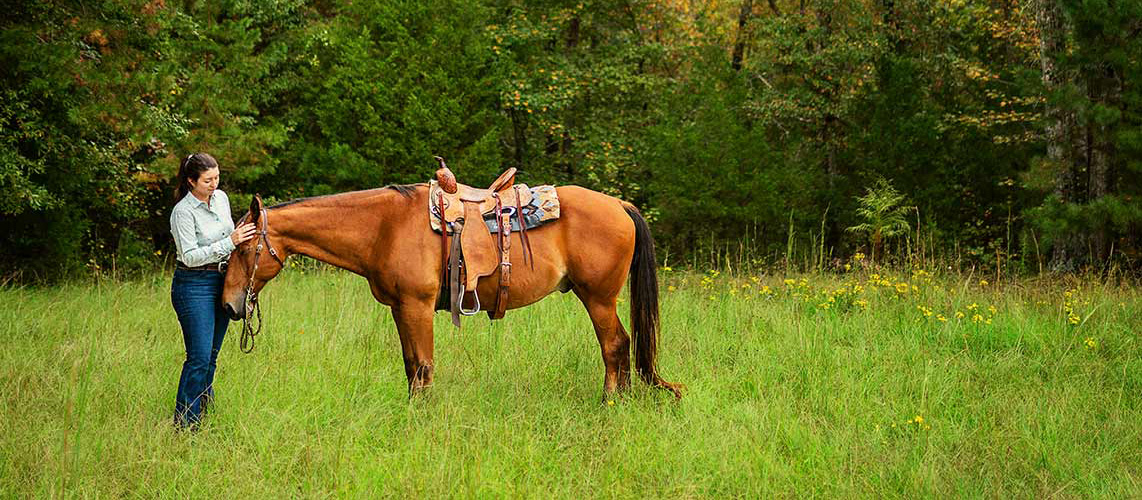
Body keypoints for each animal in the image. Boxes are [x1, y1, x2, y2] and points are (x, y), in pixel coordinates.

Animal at [220, 183, 682, 400]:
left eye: (243, 246)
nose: (229, 305)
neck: (384, 227)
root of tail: (619, 205)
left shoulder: (418, 307)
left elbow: (424, 366)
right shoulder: (400, 309)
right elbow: (411, 367)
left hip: (598, 297)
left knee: (615, 345)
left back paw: (609, 403)